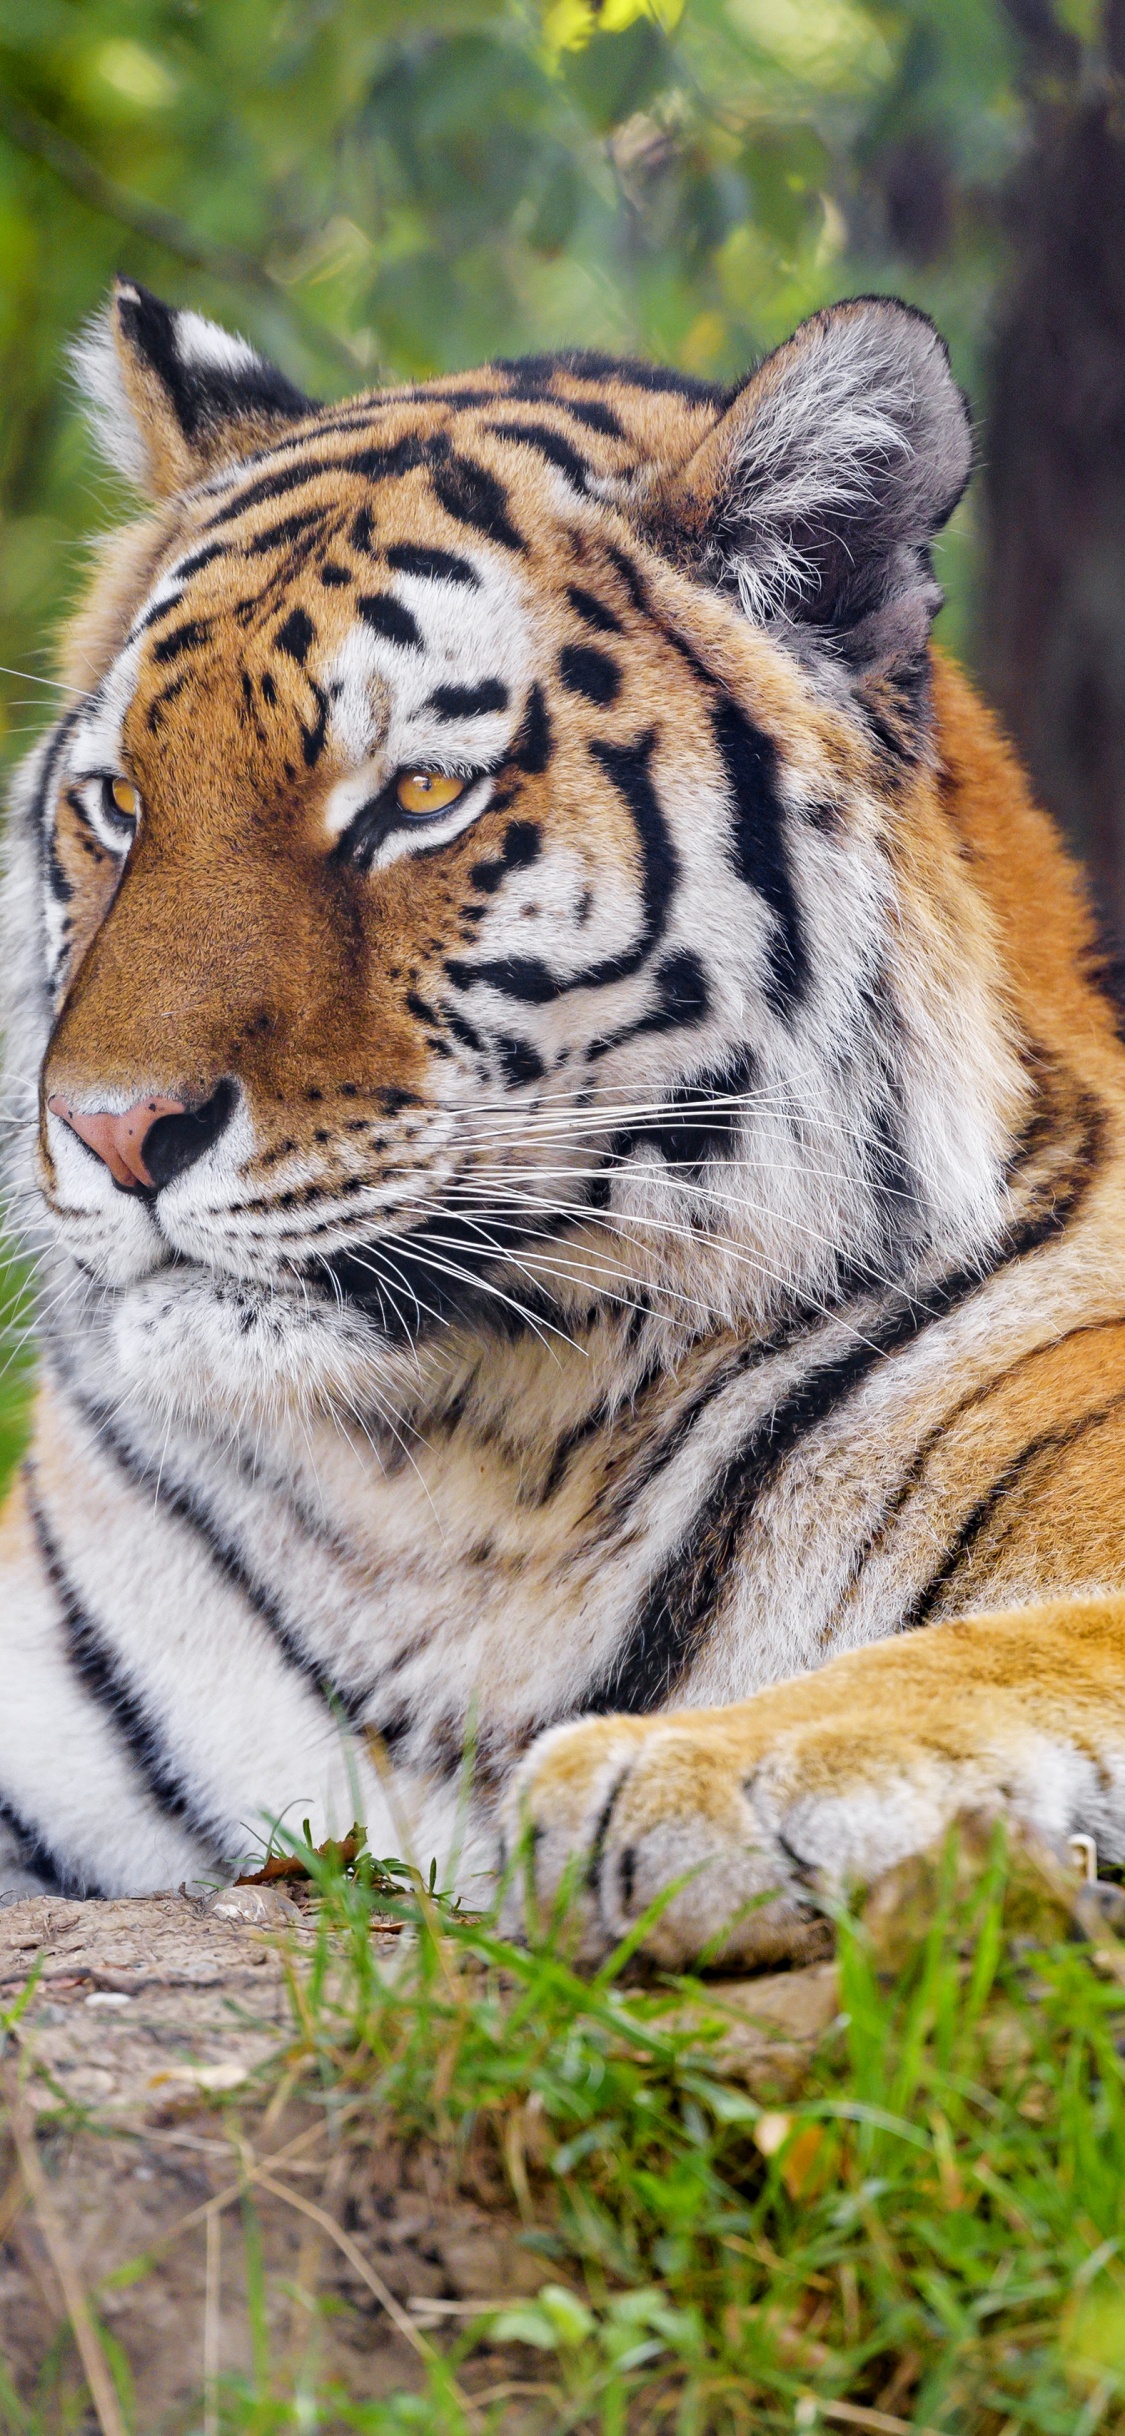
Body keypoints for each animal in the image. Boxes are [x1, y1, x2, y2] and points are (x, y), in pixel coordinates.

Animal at [3, 274, 1125, 1970]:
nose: (113, 1131)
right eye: (122, 802)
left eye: (418, 795)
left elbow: (1021, 1641)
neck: (455, 1485)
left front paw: (707, 1769)